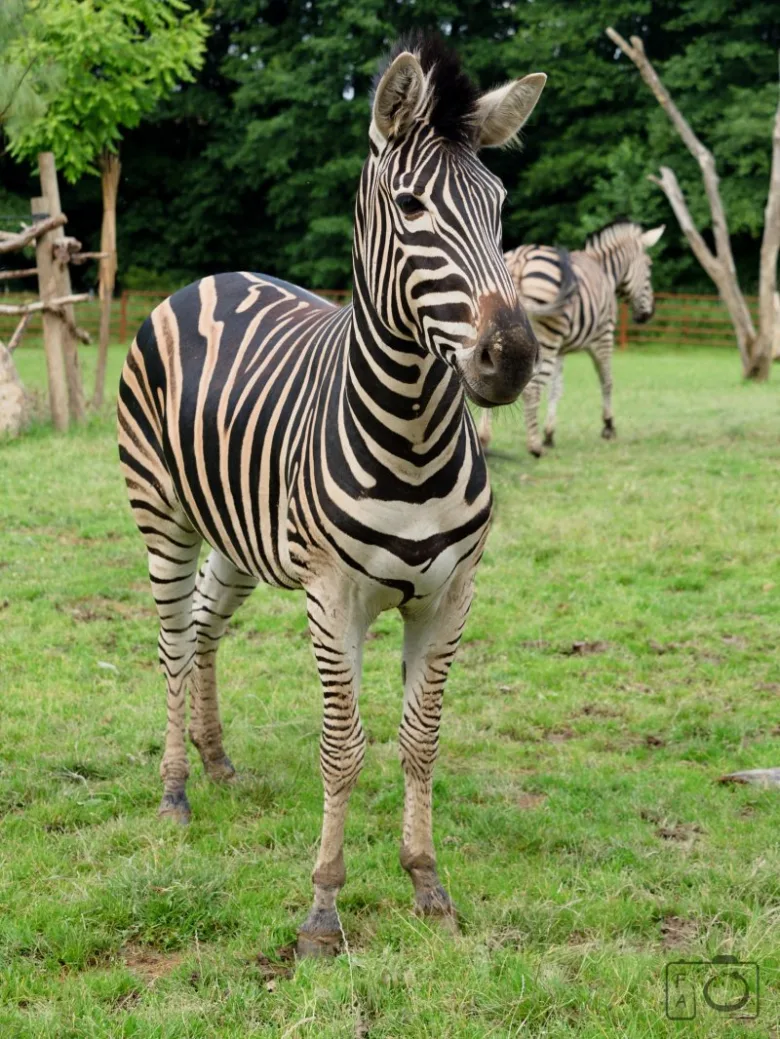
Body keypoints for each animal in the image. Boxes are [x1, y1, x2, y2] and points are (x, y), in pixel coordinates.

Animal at [118, 33, 545, 957]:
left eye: (498, 205)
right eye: (413, 206)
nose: (512, 358)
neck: (414, 434)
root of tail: (213, 277)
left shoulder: (452, 591)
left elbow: (420, 741)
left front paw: (427, 884)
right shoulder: (331, 593)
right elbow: (343, 748)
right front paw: (322, 908)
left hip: (238, 540)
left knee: (203, 629)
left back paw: (216, 759)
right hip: (163, 517)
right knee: (171, 641)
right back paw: (174, 788)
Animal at [478, 220, 665, 455]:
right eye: (649, 267)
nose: (648, 314)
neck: (605, 271)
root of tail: (520, 260)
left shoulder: (561, 349)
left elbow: (556, 389)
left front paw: (550, 434)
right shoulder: (603, 337)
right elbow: (607, 380)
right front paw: (608, 426)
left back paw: (485, 439)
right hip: (546, 338)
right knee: (532, 389)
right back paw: (534, 445)